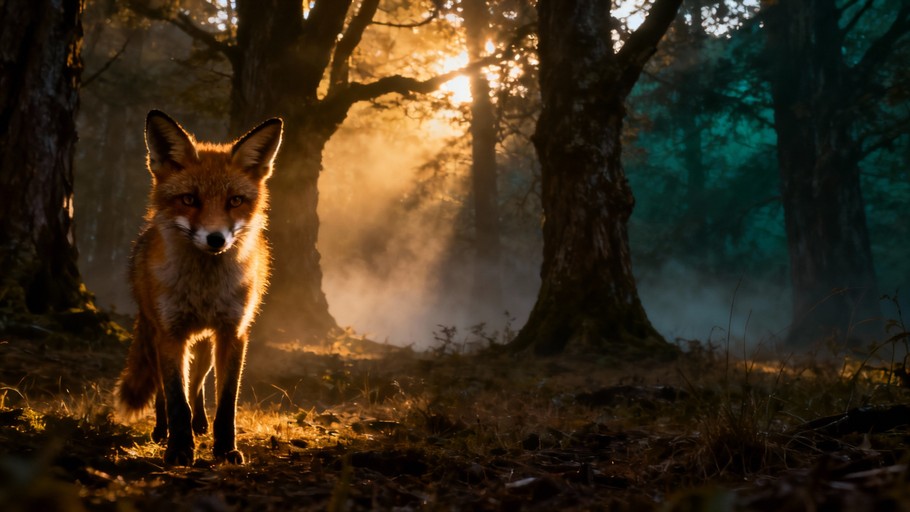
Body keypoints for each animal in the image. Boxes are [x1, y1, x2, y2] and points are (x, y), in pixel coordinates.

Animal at [115, 110, 282, 466]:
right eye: (190, 199)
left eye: (235, 201)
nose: (216, 239)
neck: (204, 290)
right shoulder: (170, 334)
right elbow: (176, 399)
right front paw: (179, 449)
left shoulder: (233, 332)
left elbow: (226, 402)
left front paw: (225, 449)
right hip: (155, 337)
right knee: (165, 391)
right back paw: (161, 431)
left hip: (205, 344)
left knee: (199, 382)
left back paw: (200, 422)